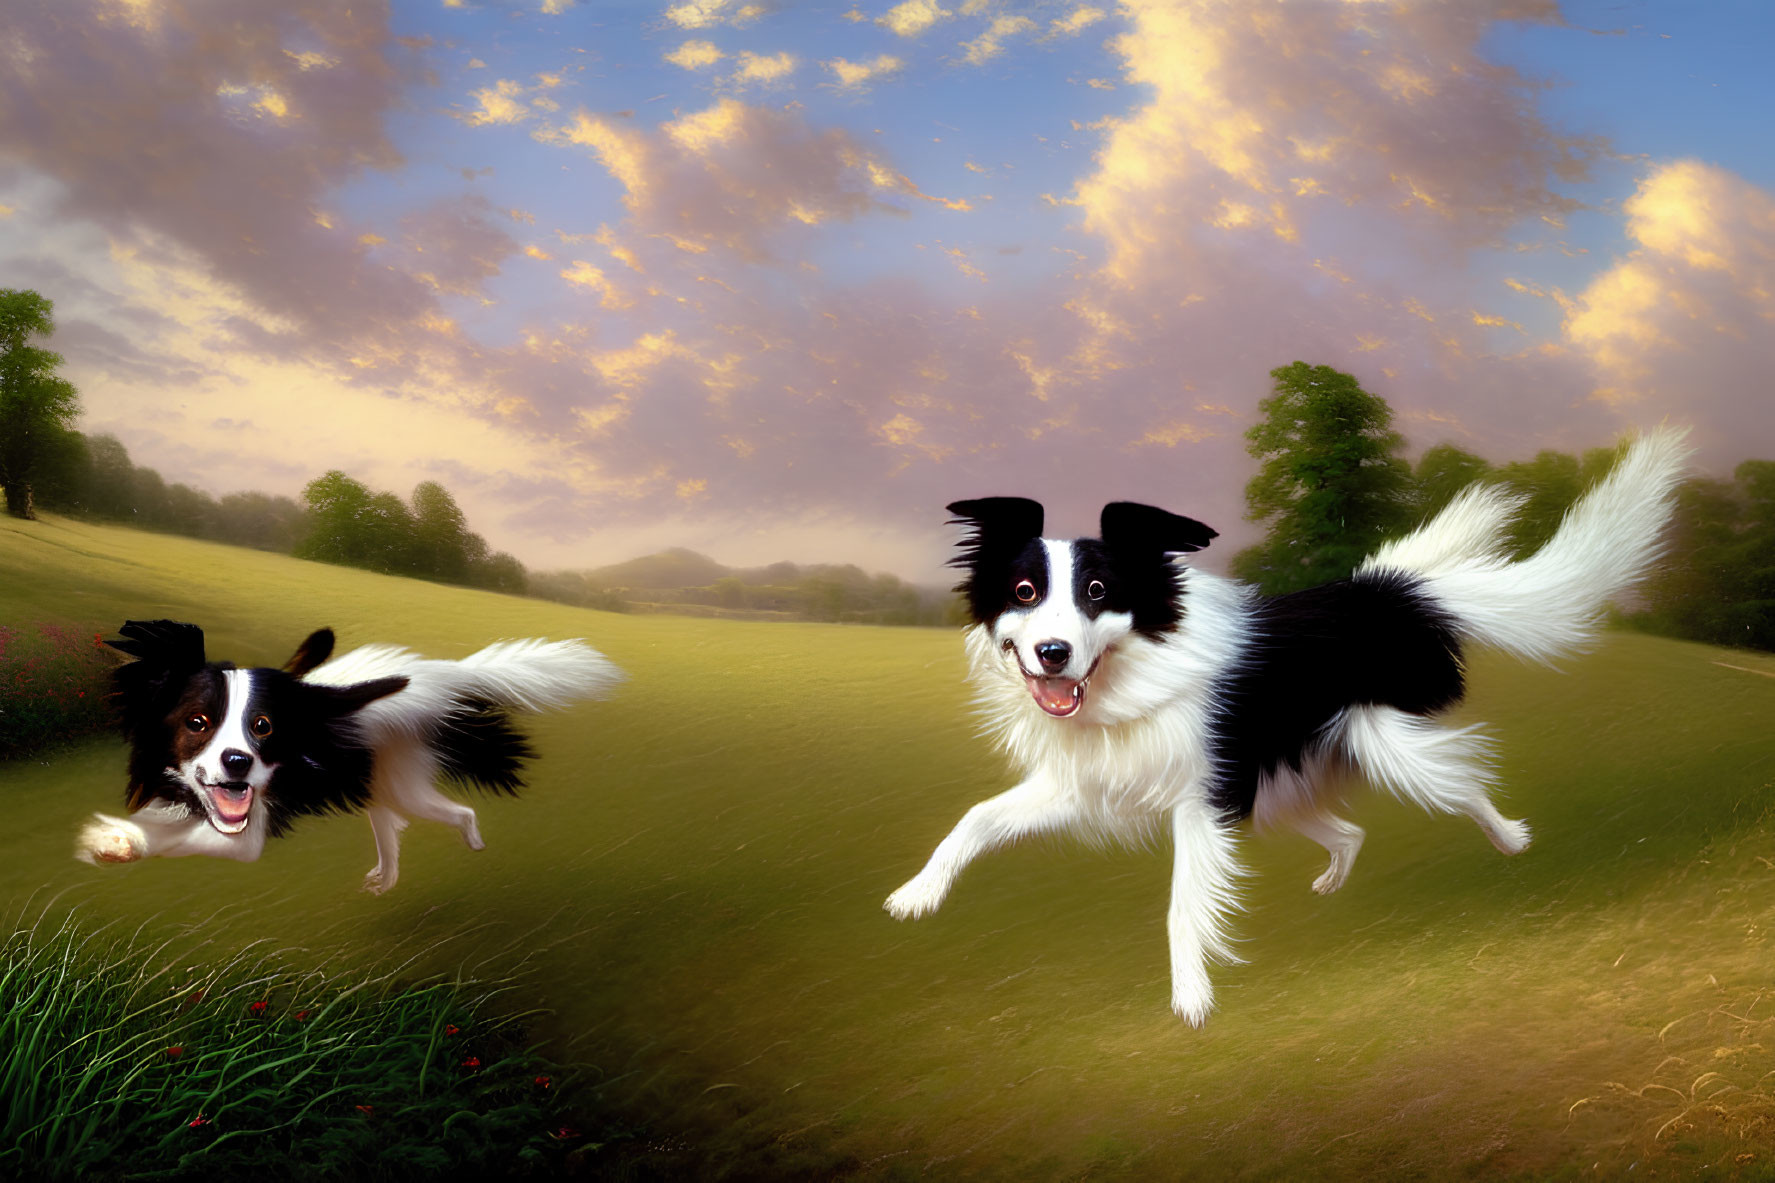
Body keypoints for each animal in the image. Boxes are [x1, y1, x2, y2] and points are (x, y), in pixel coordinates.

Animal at [83, 621, 624, 888]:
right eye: (196, 722)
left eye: (264, 727)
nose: (237, 763)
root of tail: (443, 673)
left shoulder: (245, 830)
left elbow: (181, 836)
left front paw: (114, 842)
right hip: (379, 779)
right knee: (390, 829)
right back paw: (385, 880)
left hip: (403, 780)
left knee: (455, 813)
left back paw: (472, 844)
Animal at [887, 428, 1689, 1016]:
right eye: (1023, 591)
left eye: (1098, 592)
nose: (1052, 654)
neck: (1129, 673)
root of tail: (1388, 592)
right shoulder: (1090, 782)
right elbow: (975, 819)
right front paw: (916, 895)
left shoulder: (1201, 802)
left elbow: (1182, 907)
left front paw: (1191, 1003)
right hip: (1281, 783)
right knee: (1351, 830)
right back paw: (1334, 882)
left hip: (1380, 743)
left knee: (1463, 785)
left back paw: (1512, 839)